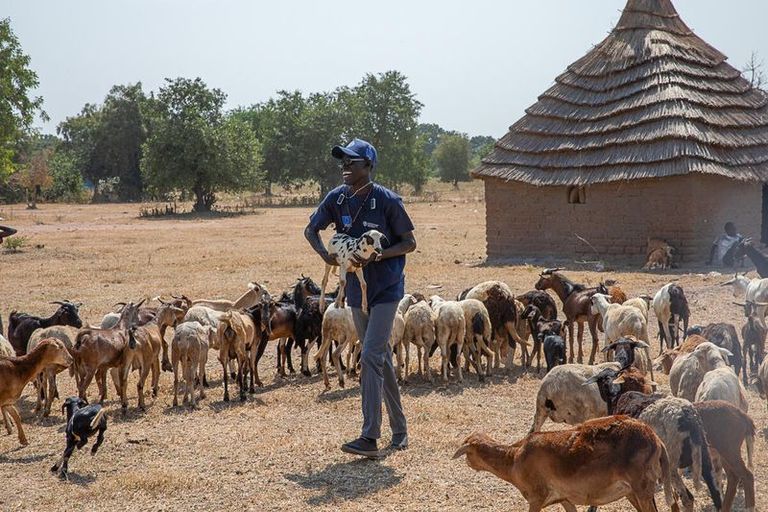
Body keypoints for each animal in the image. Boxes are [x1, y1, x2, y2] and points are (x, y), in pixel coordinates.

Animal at [454, 416, 676, 512]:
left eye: (468, 453)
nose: (468, 463)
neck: (514, 459)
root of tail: (657, 441)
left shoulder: (536, 497)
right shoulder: (564, 498)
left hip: (642, 488)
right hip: (633, 491)